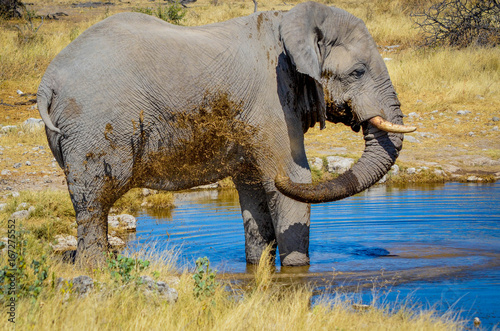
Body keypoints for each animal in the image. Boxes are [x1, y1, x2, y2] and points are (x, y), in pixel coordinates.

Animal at [38, 0, 414, 268]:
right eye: (358, 72)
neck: (291, 20)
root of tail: (48, 81)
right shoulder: (272, 100)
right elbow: (293, 178)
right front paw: (298, 270)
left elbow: (253, 192)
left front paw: (259, 268)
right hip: (91, 123)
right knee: (94, 200)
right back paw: (97, 270)